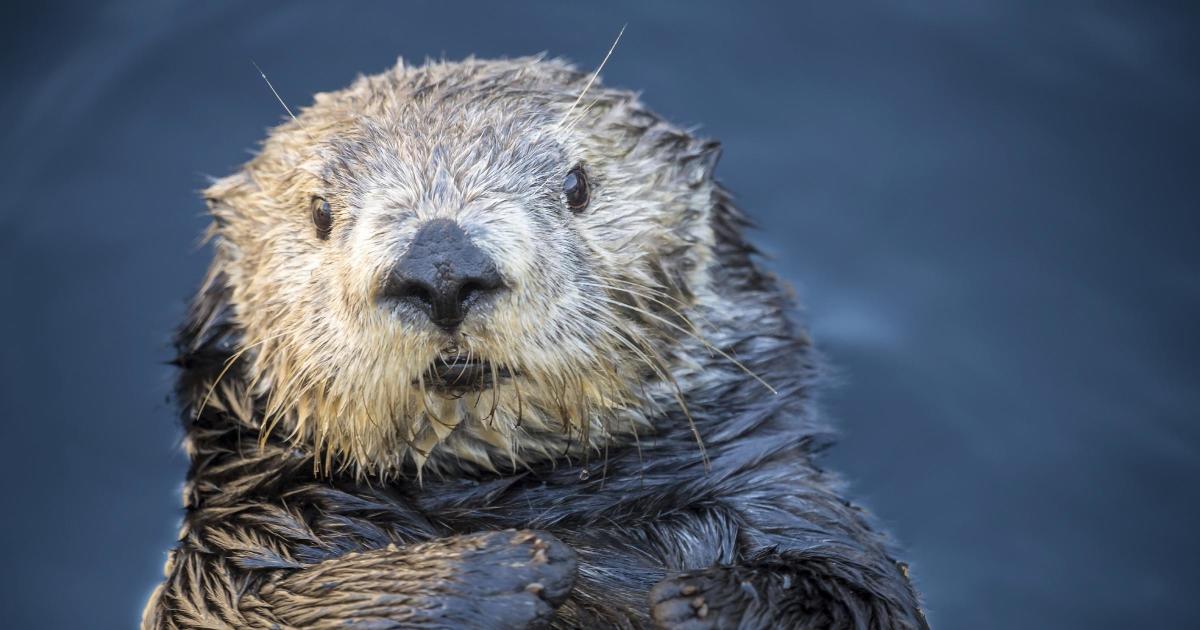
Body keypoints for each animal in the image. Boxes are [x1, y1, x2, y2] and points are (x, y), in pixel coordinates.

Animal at [142, 56, 926, 624]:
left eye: (577, 183)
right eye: (320, 211)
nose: (442, 266)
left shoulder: (786, 501)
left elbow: (864, 595)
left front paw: (699, 600)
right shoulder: (238, 534)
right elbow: (240, 609)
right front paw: (499, 572)